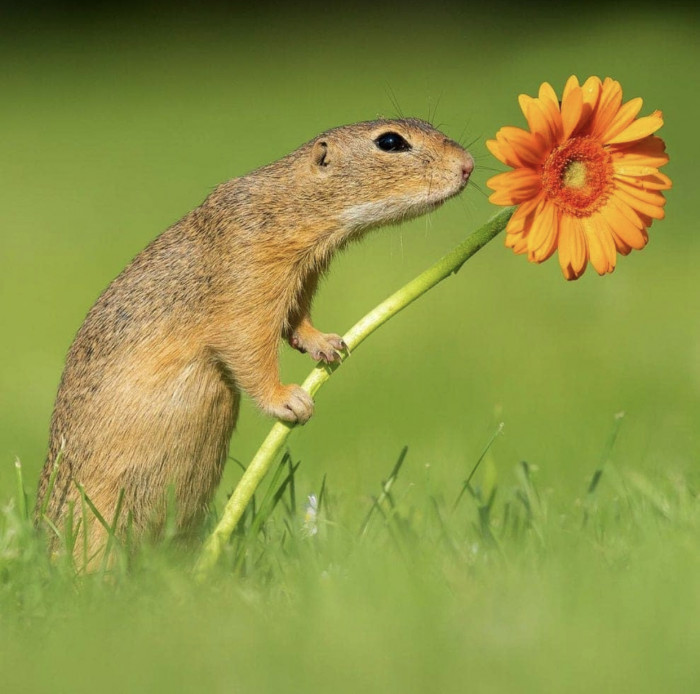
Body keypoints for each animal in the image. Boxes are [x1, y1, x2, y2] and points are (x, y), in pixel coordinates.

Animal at [35, 117, 474, 564]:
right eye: (390, 142)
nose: (468, 165)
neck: (288, 205)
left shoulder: (303, 277)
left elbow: (295, 322)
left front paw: (329, 344)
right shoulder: (247, 279)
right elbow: (247, 347)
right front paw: (290, 401)